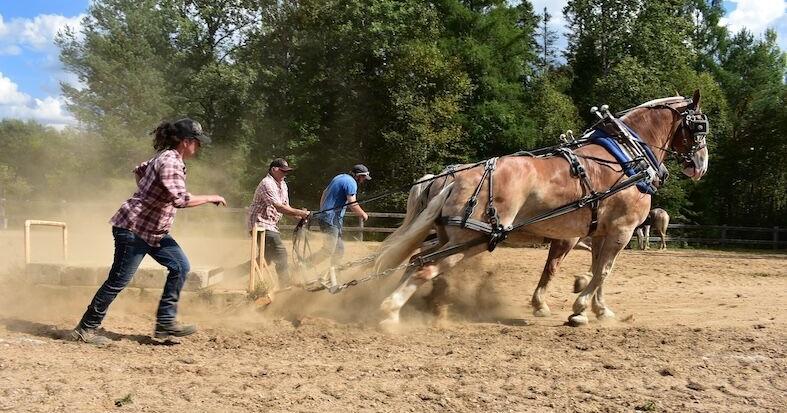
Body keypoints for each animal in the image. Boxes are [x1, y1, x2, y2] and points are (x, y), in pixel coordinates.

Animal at [375, 91, 709, 328]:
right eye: (700, 128)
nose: (701, 166)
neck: (626, 158)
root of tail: (455, 176)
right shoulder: (621, 230)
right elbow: (602, 270)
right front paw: (579, 309)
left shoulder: (601, 232)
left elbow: (597, 270)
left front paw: (598, 308)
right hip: (471, 240)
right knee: (425, 266)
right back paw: (390, 312)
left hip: (450, 237)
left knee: (416, 260)